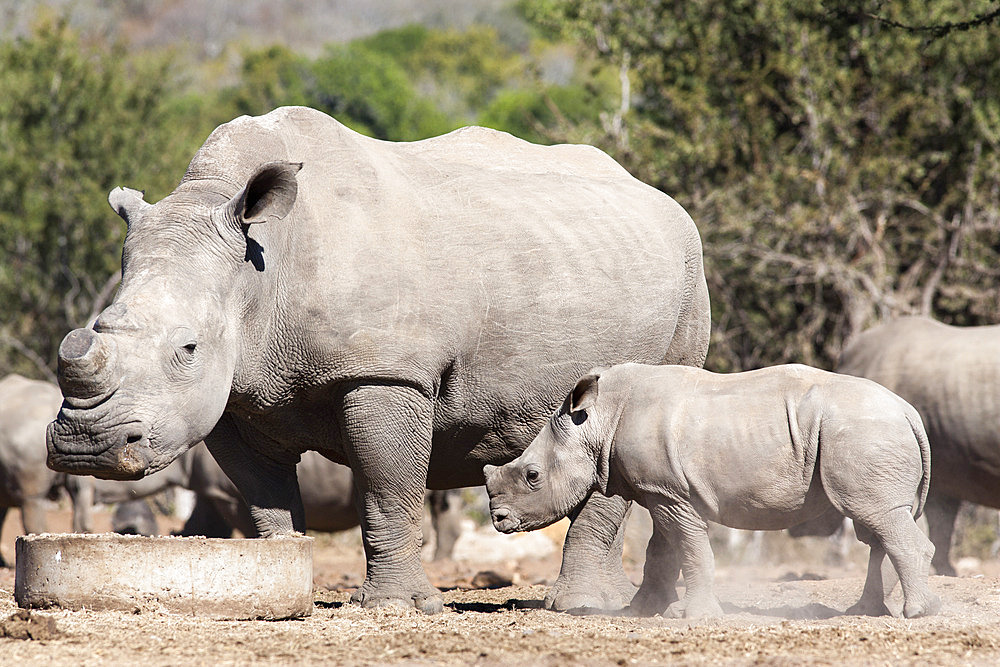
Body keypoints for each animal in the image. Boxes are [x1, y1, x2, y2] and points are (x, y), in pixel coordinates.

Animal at [43, 105, 708, 616]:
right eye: (96, 330)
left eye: (187, 349)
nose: (86, 445)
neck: (262, 271)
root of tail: (660, 198)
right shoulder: (229, 394)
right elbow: (264, 496)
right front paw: (283, 581)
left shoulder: (386, 370)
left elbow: (388, 486)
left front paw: (400, 608)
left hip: (687, 278)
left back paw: (587, 607)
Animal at [488, 366, 940, 620]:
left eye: (532, 476)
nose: (498, 519)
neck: (596, 420)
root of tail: (909, 412)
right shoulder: (664, 489)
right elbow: (665, 549)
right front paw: (640, 611)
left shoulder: (667, 491)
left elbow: (690, 549)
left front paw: (692, 616)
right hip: (869, 435)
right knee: (877, 522)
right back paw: (866, 613)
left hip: (865, 433)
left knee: (877, 516)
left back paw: (915, 614)